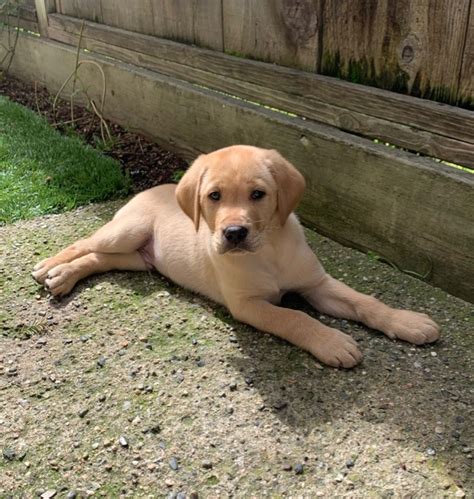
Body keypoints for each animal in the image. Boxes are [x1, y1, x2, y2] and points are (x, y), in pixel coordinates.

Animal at [32, 145, 440, 368]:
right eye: (214, 196)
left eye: (258, 194)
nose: (233, 233)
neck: (269, 250)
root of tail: (149, 190)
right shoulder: (248, 305)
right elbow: (295, 318)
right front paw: (332, 342)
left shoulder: (317, 284)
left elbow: (364, 301)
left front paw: (406, 321)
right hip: (127, 230)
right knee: (85, 242)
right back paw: (51, 266)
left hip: (137, 258)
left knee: (99, 258)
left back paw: (63, 277)